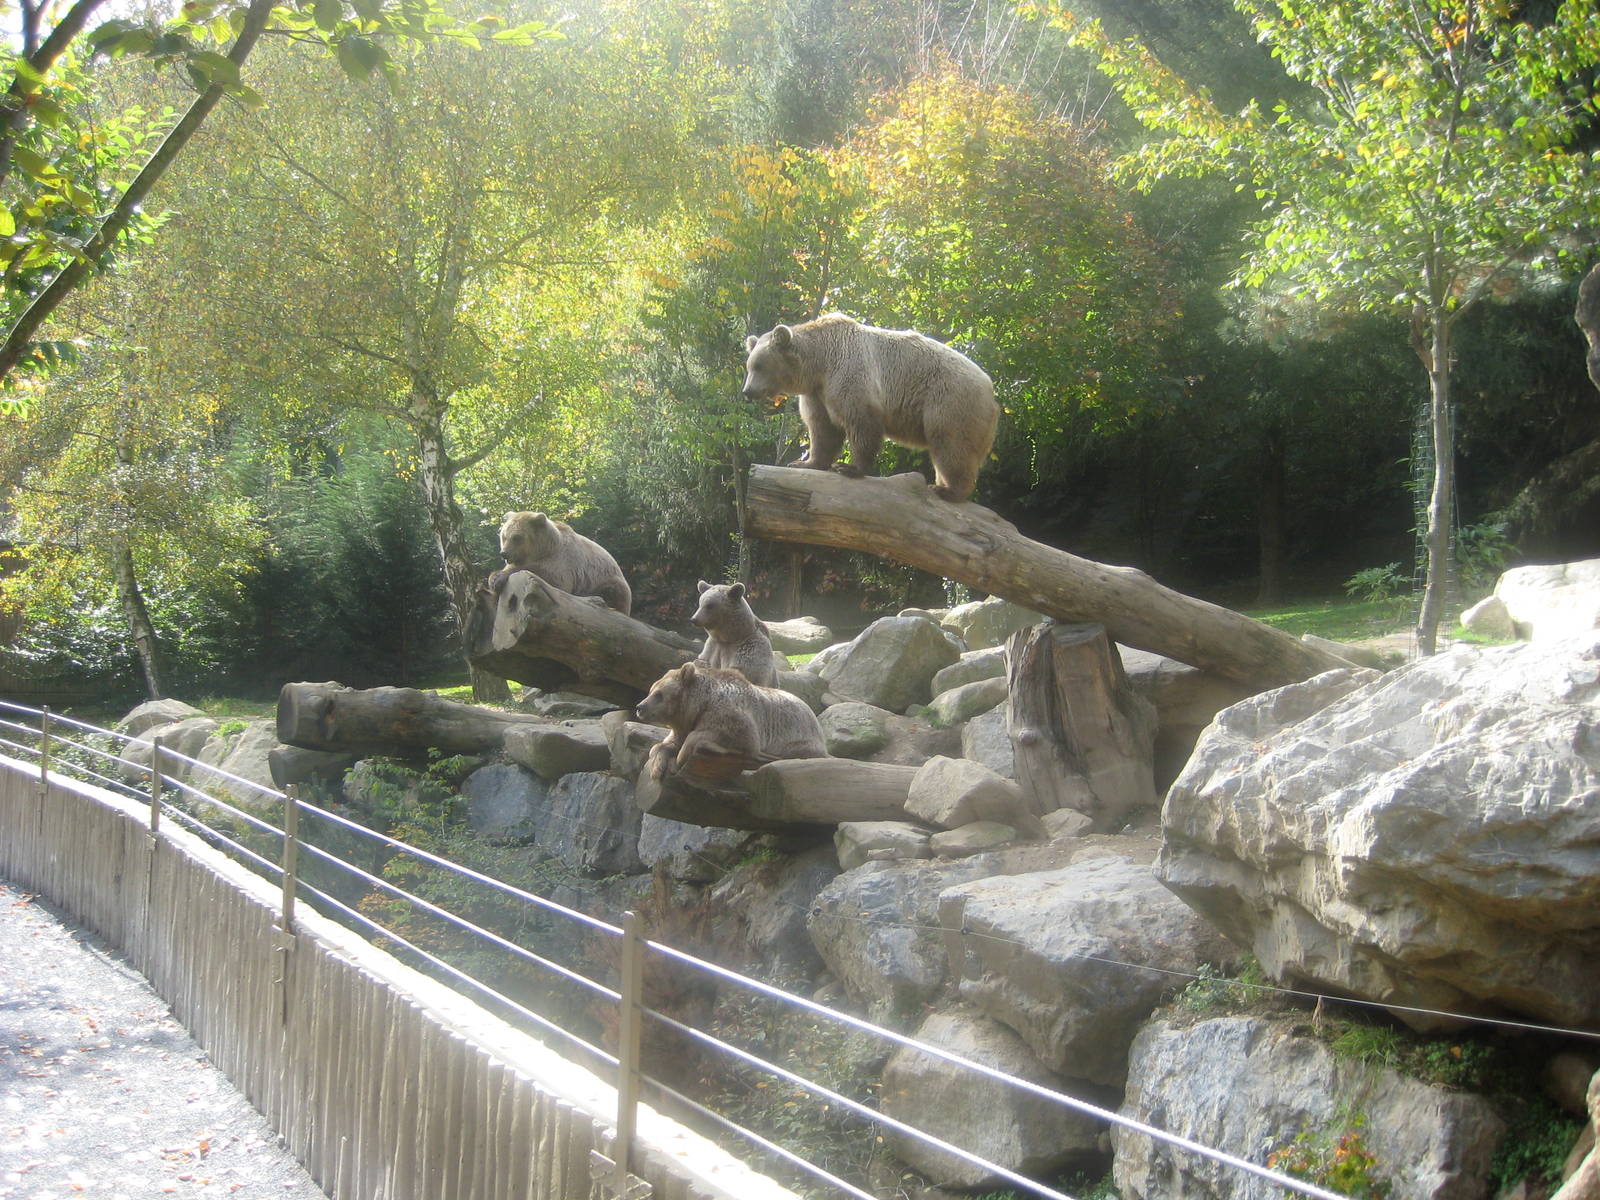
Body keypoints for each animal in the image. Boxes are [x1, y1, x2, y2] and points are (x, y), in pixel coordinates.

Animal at [493, 511, 632, 616]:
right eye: (504, 536)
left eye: (517, 537)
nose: (504, 553)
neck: (544, 550)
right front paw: (494, 579)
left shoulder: (563, 561)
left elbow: (552, 578)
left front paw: (499, 578)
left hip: (603, 581)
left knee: (612, 591)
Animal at [635, 661, 827, 783]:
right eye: (651, 690)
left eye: (659, 694)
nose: (639, 707)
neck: (699, 706)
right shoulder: (684, 724)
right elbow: (665, 744)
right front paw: (656, 767)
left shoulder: (727, 714)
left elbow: (735, 736)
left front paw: (682, 755)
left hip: (797, 737)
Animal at [741, 313, 999, 503]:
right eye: (749, 365)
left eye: (759, 365)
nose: (747, 391)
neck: (819, 364)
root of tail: (991, 390)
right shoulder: (818, 393)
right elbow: (823, 429)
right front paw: (805, 462)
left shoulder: (848, 372)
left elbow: (860, 420)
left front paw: (848, 467)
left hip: (951, 400)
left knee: (951, 443)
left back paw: (949, 490)